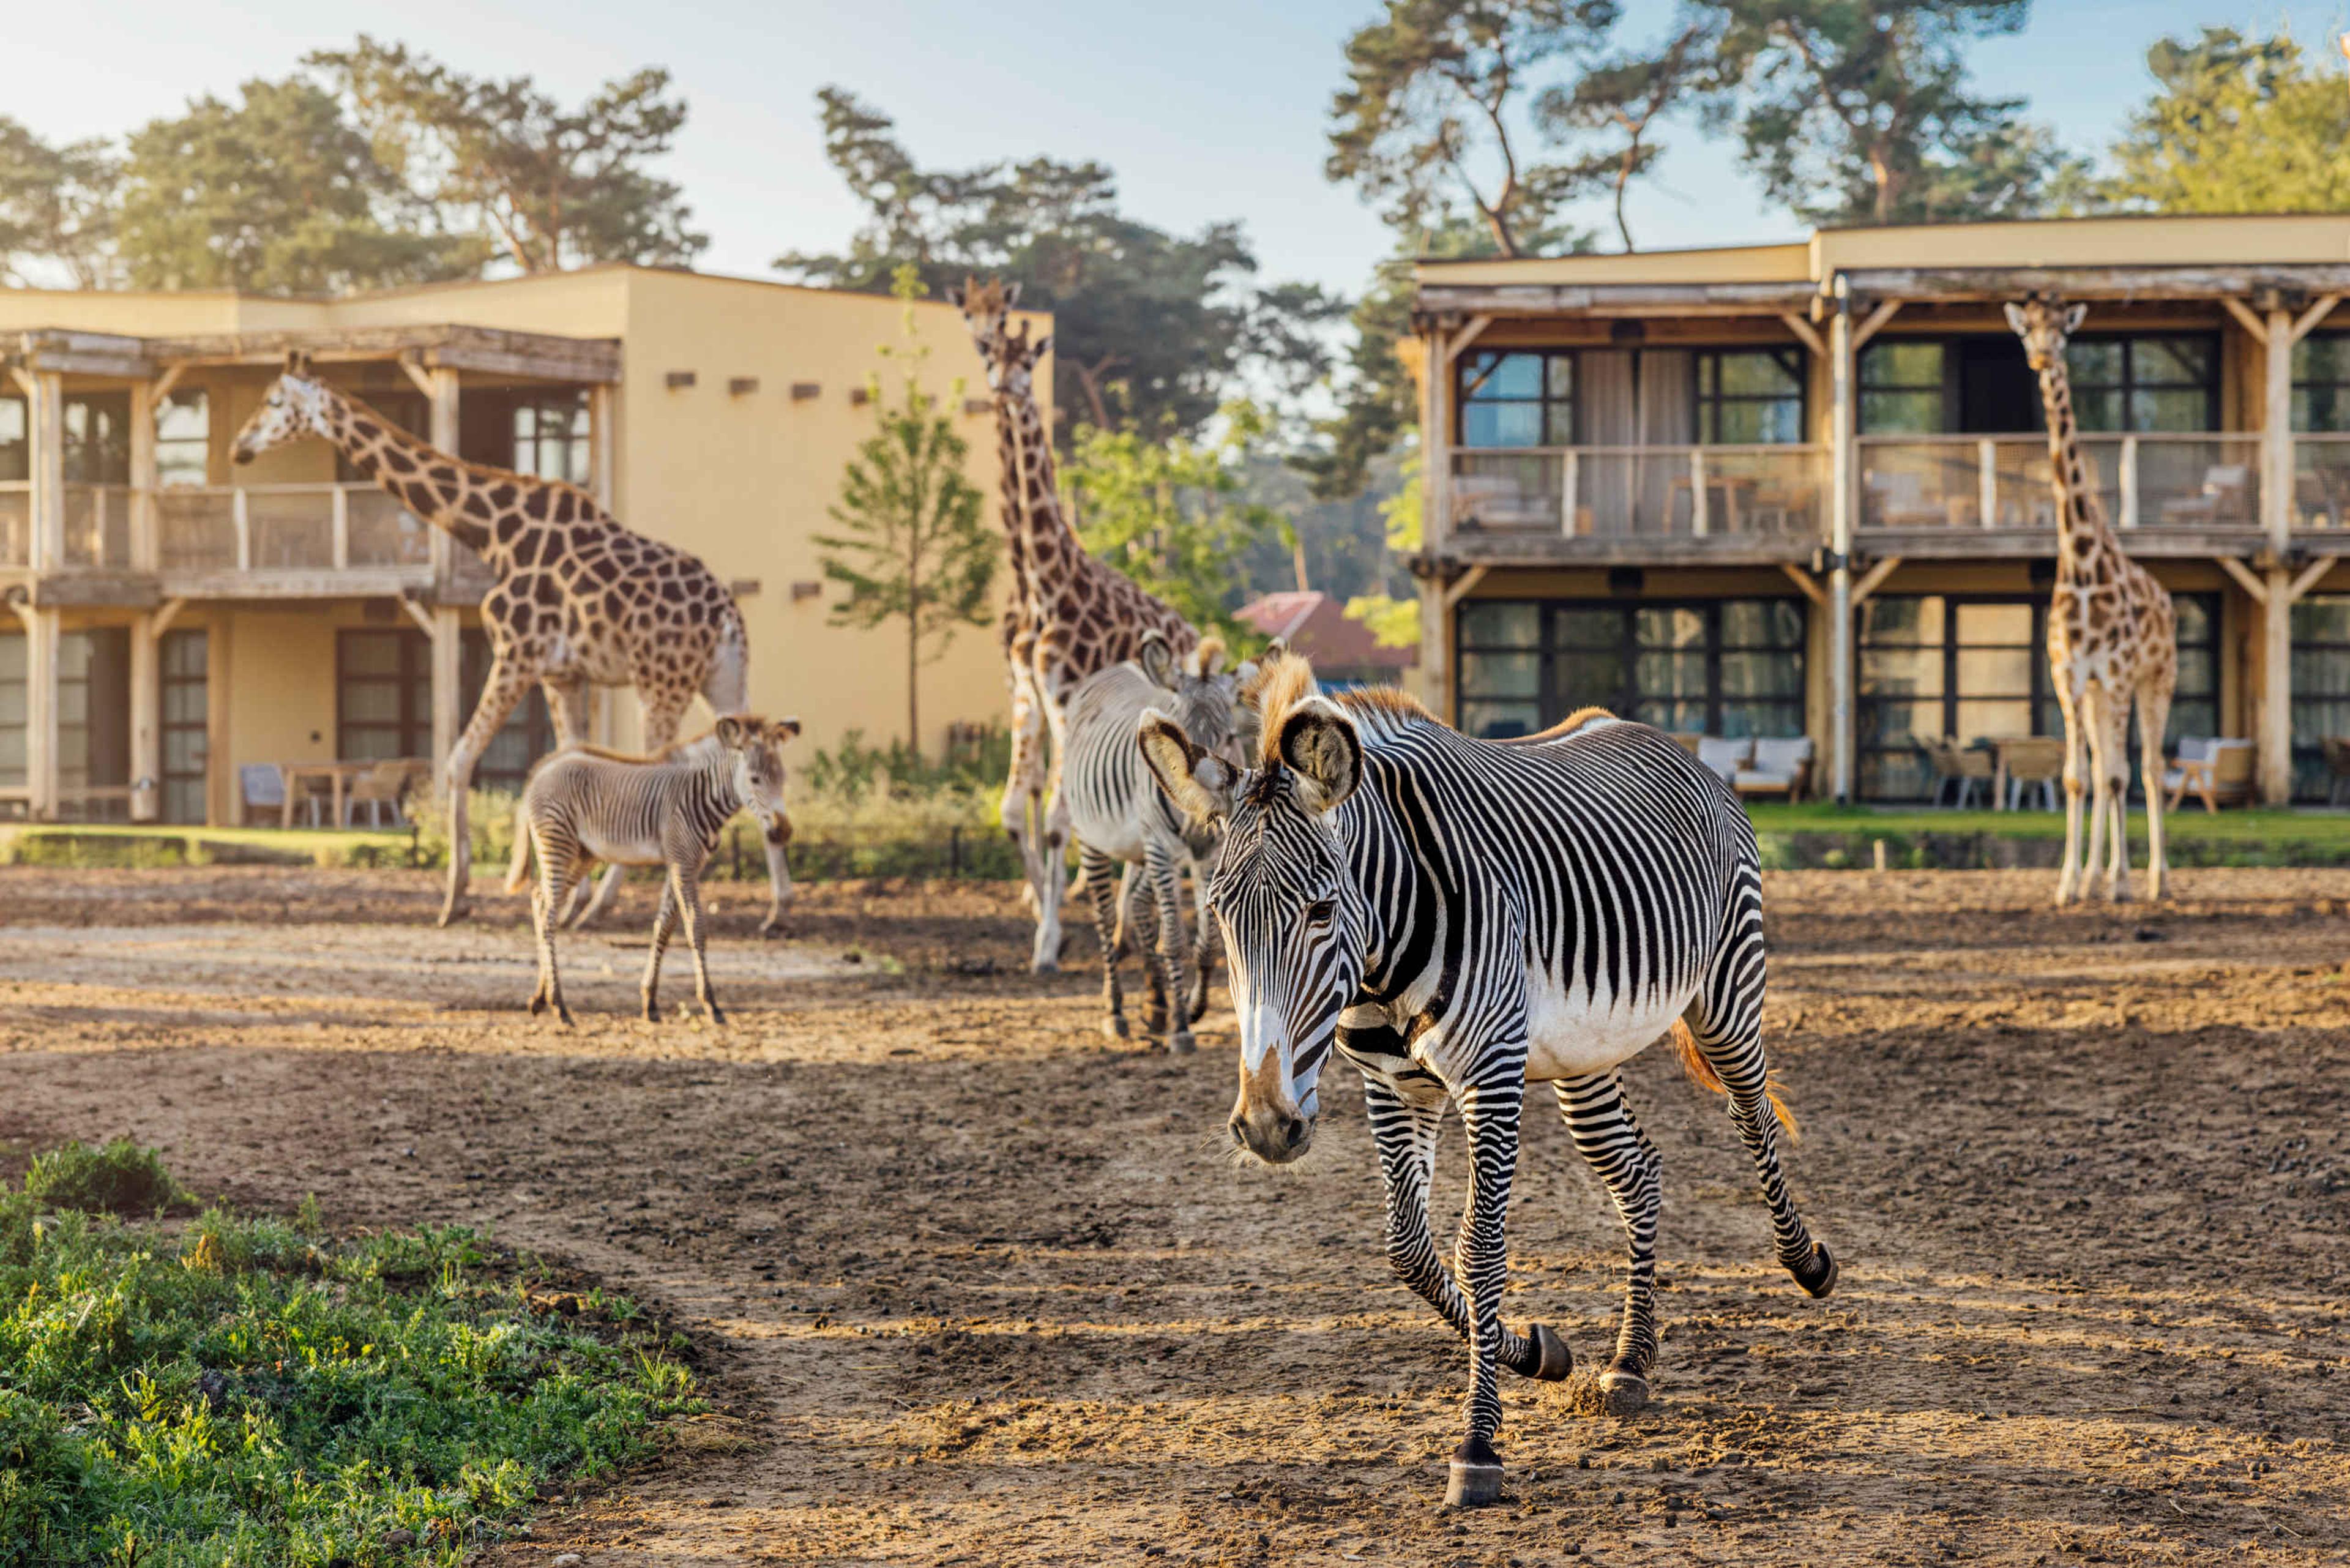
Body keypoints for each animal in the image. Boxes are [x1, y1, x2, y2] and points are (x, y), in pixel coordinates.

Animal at [503, 715, 798, 1026]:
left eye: (783, 779)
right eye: (755, 779)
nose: (783, 832)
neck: (701, 794)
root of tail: (544, 767)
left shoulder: (683, 863)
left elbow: (664, 928)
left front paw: (650, 1000)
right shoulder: (683, 862)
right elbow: (696, 926)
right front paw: (711, 1004)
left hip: (584, 853)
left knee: (540, 900)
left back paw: (540, 998)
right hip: (558, 843)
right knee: (549, 915)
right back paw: (559, 1004)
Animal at [1064, 630, 1244, 1052]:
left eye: (1230, 738)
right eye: (1177, 741)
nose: (1200, 822)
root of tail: (1116, 667)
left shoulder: (1209, 852)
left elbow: (1208, 940)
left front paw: (1192, 1008)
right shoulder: (1163, 846)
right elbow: (1175, 938)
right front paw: (1181, 1027)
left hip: (1144, 851)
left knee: (1139, 906)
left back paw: (1155, 1003)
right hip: (1095, 839)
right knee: (1106, 918)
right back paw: (1116, 1012)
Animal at [1138, 655, 1836, 1509]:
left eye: (1321, 910)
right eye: (1220, 914)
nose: (1267, 1125)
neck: (1382, 947)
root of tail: (1656, 735)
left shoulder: (1492, 1076)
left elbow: (1479, 1249)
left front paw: (1478, 1446)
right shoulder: (1393, 1087)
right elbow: (1408, 1250)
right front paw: (1537, 1350)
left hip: (1728, 992)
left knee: (1752, 1112)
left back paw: (1807, 1262)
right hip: (1582, 1058)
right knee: (1638, 1171)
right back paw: (1630, 1362)